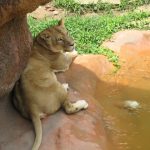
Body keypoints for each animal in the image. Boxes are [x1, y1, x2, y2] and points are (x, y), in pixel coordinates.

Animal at [12, 19, 88, 150]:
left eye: (67, 33)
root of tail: (31, 108)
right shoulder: (63, 63)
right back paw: (81, 102)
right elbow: (71, 55)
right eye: (60, 39)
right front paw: (75, 50)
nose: (72, 44)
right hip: (57, 89)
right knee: (68, 108)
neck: (40, 43)